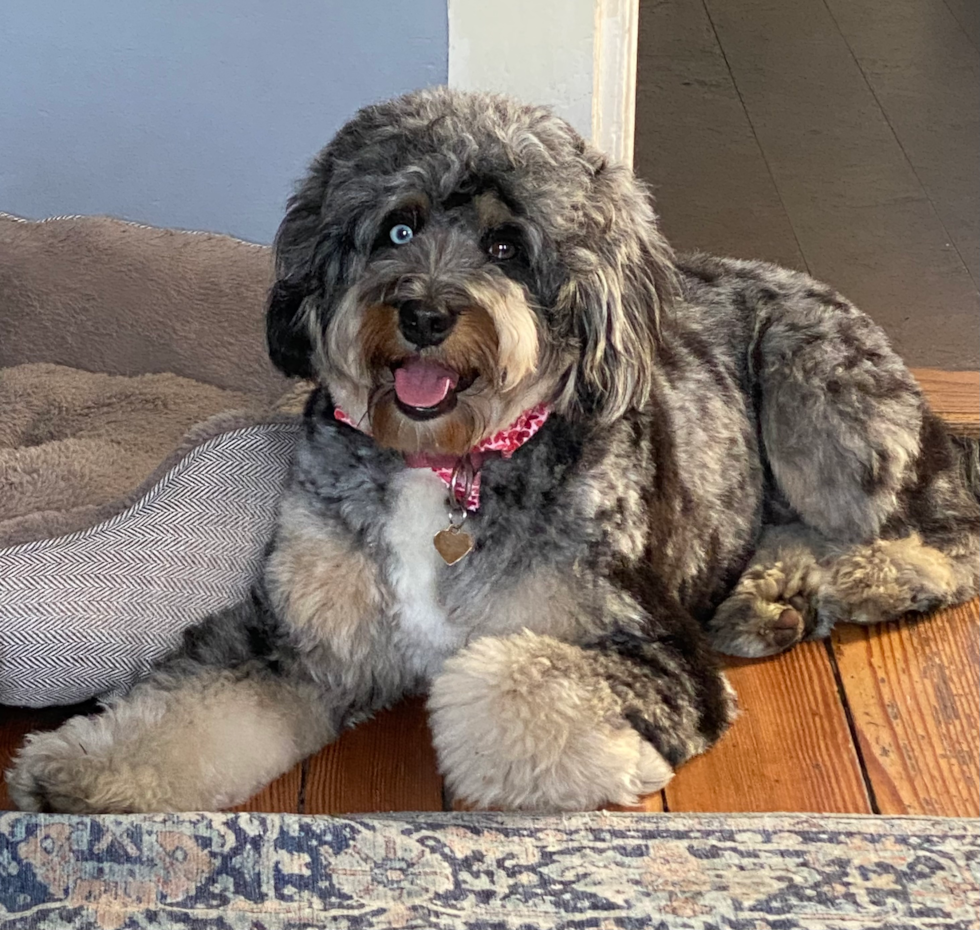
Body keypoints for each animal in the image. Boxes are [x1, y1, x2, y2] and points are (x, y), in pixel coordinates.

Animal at [9, 87, 980, 812]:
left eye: (508, 246)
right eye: (397, 228)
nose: (425, 312)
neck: (446, 462)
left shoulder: (654, 654)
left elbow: (490, 684)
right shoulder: (297, 635)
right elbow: (188, 701)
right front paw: (80, 771)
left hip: (818, 395)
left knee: (941, 527)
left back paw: (864, 579)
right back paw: (772, 592)